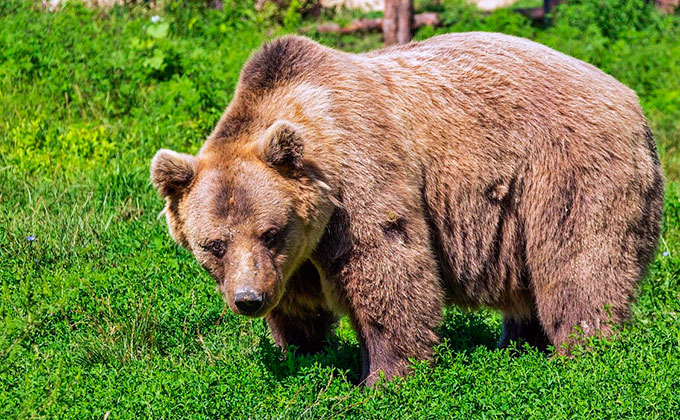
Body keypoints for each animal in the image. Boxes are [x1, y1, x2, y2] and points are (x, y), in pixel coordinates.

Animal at [150, 32, 664, 388]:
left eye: (270, 231)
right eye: (214, 245)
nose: (248, 299)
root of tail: (632, 100)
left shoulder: (360, 178)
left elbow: (388, 269)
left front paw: (384, 376)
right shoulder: (296, 254)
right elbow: (299, 305)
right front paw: (304, 353)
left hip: (568, 171)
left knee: (579, 266)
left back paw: (583, 354)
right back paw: (517, 346)